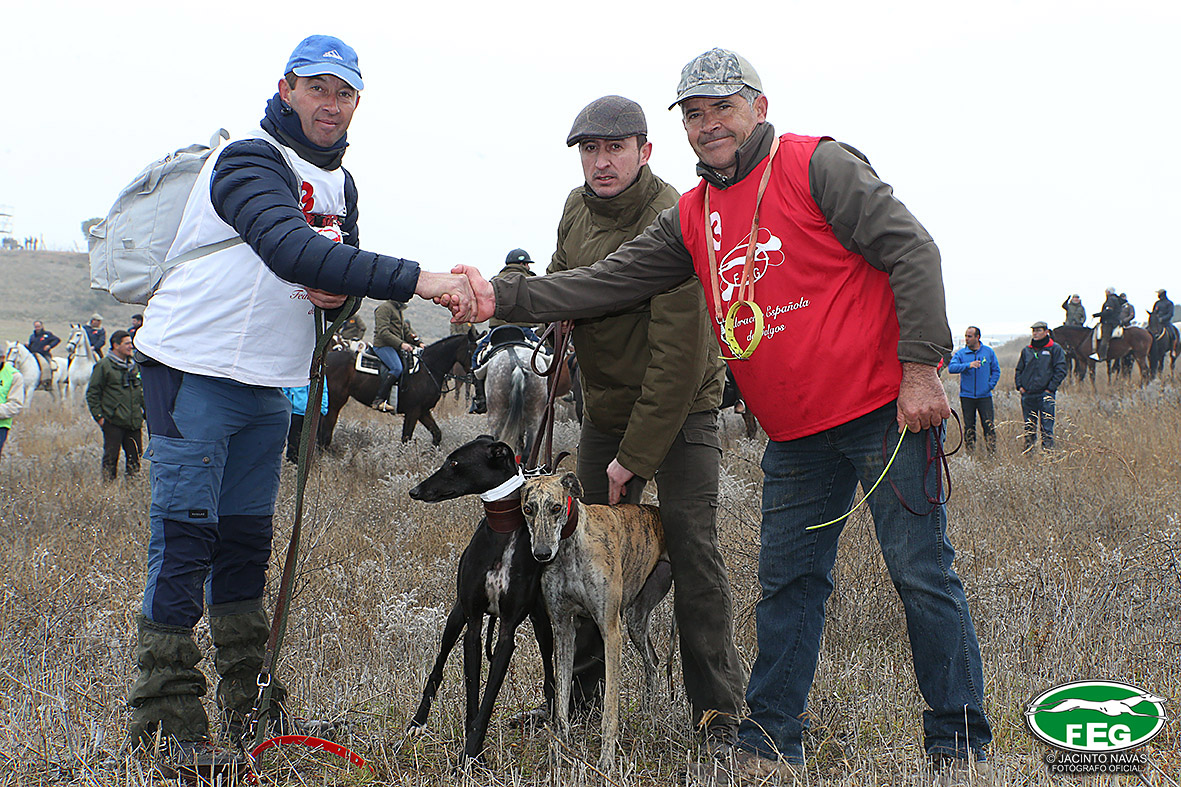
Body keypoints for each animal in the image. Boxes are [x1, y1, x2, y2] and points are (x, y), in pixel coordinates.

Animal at [407, 435, 555, 763]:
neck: (502, 533)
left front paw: (472, 752)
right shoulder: (472, 625)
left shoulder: (507, 633)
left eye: (454, 462)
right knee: (437, 668)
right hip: (455, 618)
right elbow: (472, 693)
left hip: (543, 624)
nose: (415, 491)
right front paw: (469, 753)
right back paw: (417, 722)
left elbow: (486, 701)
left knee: (551, 669)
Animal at [520, 471, 668, 769]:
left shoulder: (610, 631)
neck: (570, 547)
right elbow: (561, 702)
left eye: (556, 507)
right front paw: (559, 752)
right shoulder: (563, 629)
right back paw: (649, 714)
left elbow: (610, 709)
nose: (542, 554)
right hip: (636, 620)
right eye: (528, 509)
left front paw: (606, 761)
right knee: (653, 662)